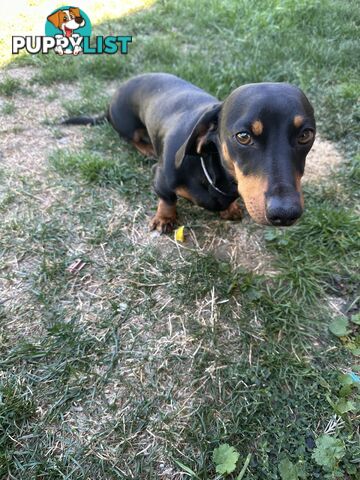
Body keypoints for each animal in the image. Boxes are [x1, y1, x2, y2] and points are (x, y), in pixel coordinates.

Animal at [62, 73, 316, 232]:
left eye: (306, 134)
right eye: (243, 136)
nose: (285, 213)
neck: (212, 173)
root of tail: (112, 99)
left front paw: (230, 208)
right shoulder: (161, 178)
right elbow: (167, 198)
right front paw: (165, 218)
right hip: (127, 125)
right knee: (132, 138)